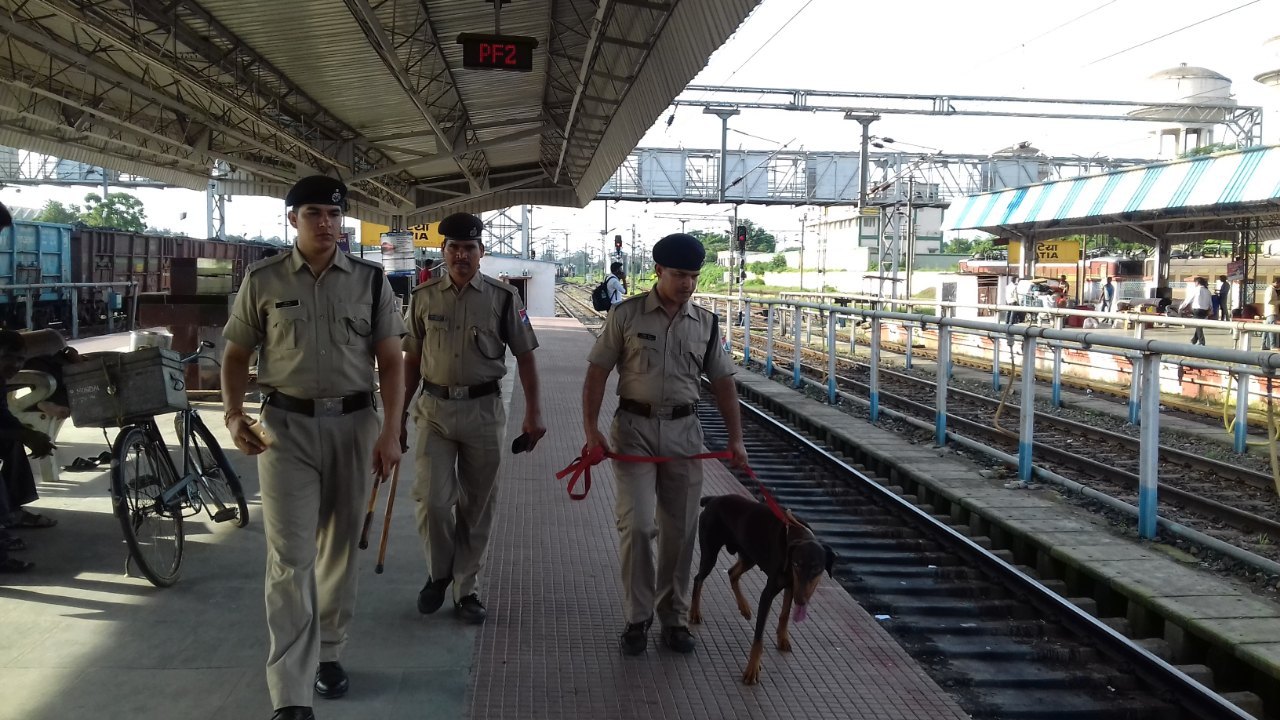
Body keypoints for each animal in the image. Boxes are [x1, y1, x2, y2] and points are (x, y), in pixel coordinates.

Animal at [691, 489, 839, 681]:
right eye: (796, 564)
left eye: (817, 568)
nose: (801, 601)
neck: (796, 535)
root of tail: (713, 499)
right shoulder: (769, 593)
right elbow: (758, 637)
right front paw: (752, 669)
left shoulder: (792, 586)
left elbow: (785, 614)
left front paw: (783, 638)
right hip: (711, 552)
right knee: (698, 579)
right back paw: (695, 612)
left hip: (749, 556)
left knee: (732, 573)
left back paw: (745, 607)